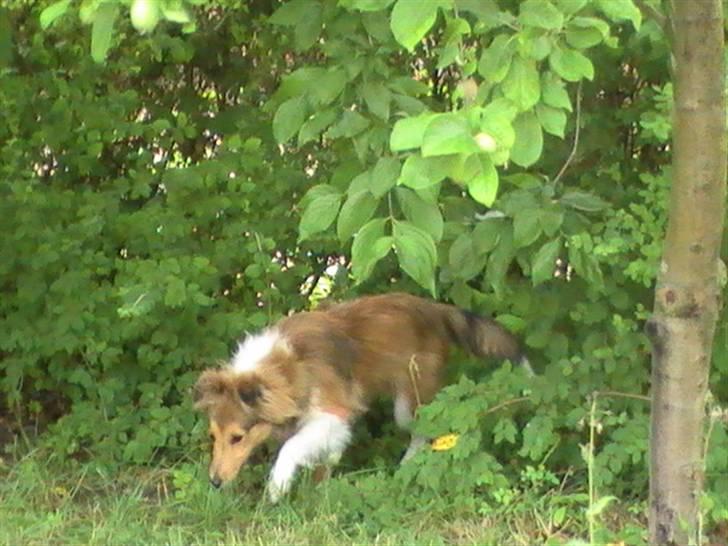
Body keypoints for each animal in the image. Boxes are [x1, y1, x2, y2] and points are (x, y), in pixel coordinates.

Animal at [191, 292, 528, 500]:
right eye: (213, 437)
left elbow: (290, 447)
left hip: (409, 403)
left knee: (423, 433)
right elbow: (322, 456)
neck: (287, 367)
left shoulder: (333, 414)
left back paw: (406, 468)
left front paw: (278, 487)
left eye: (237, 437)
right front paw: (318, 489)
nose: (215, 482)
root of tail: (435, 308)